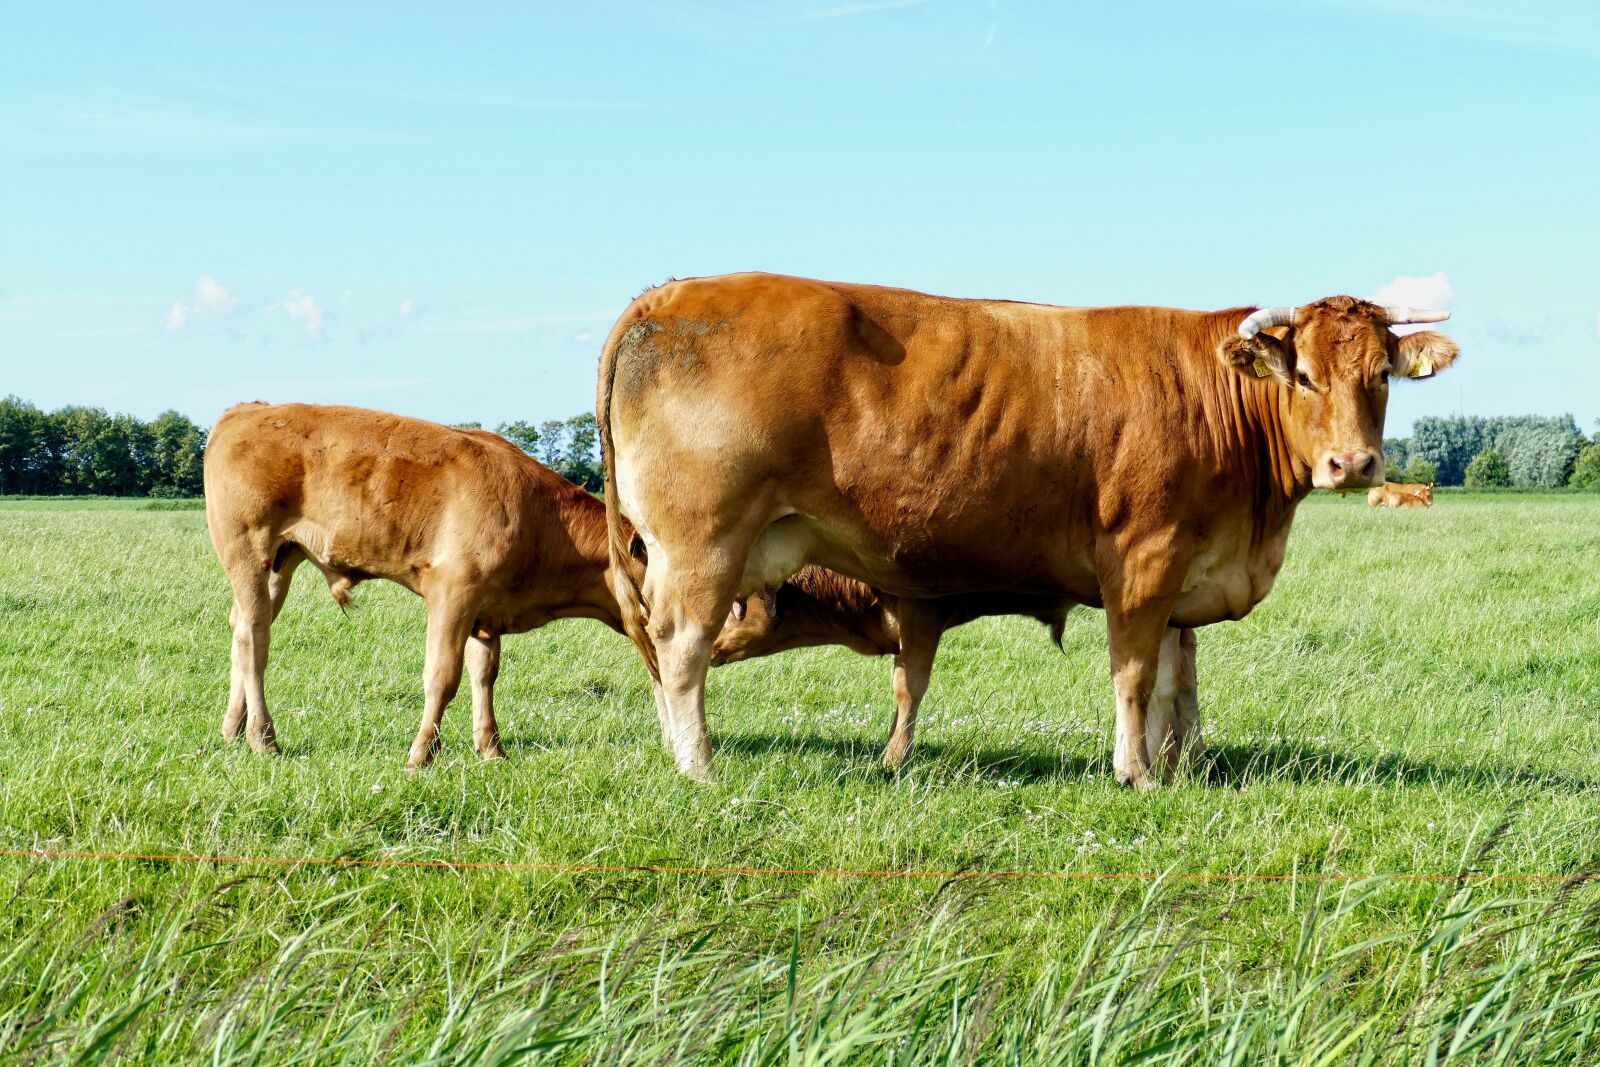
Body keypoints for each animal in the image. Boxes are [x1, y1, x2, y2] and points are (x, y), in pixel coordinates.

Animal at [203, 402, 628, 768]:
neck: (541, 519)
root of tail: (252, 409)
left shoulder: (486, 613)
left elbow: (484, 674)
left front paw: (491, 748)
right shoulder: (453, 592)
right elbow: (442, 676)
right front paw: (422, 755)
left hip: (280, 562)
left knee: (241, 629)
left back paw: (234, 728)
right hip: (247, 551)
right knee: (253, 639)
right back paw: (263, 737)